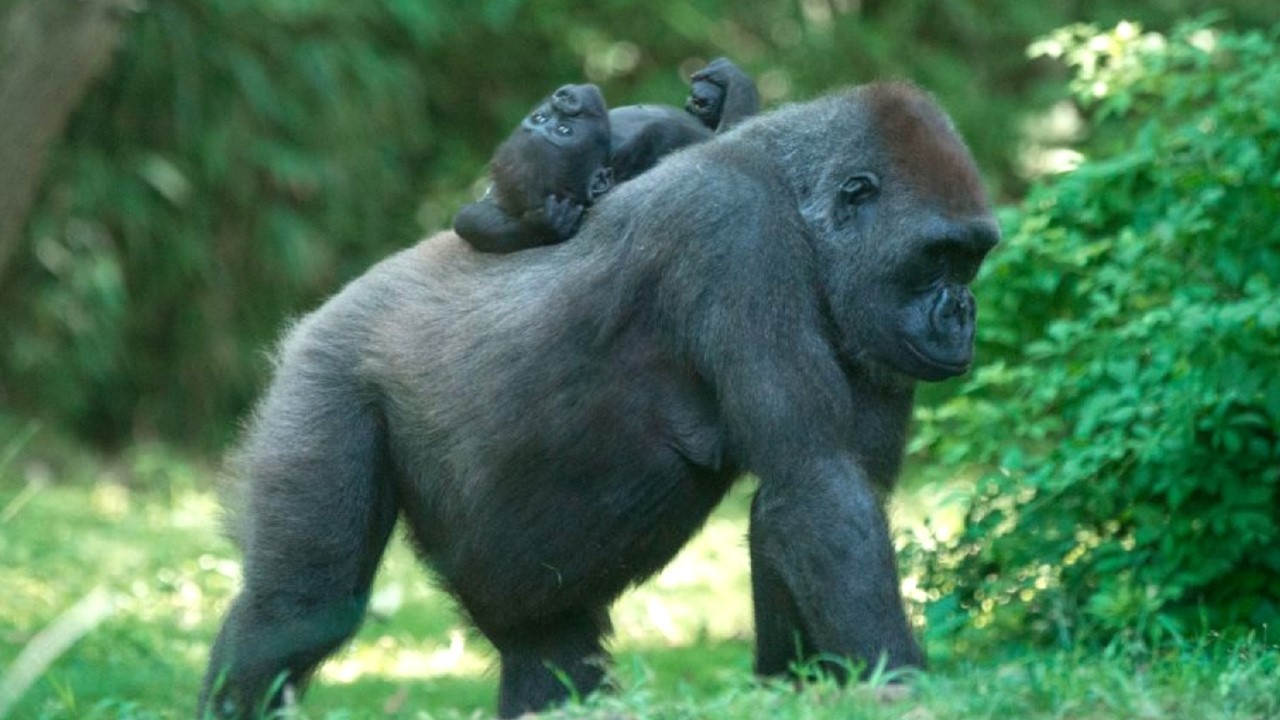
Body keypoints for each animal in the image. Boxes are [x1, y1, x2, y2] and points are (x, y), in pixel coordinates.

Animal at [199, 81, 998, 719]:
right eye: (940, 256)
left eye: (972, 259)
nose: (962, 315)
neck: (795, 197)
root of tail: (318, 316)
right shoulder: (734, 234)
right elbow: (816, 486)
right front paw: (905, 692)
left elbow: (802, 509)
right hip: (323, 373)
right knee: (297, 608)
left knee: (546, 651)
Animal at [453, 57, 758, 253]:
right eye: (564, 131)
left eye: (544, 119)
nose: (564, 99)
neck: (611, 144)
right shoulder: (651, 144)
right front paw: (543, 227)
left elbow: (469, 216)